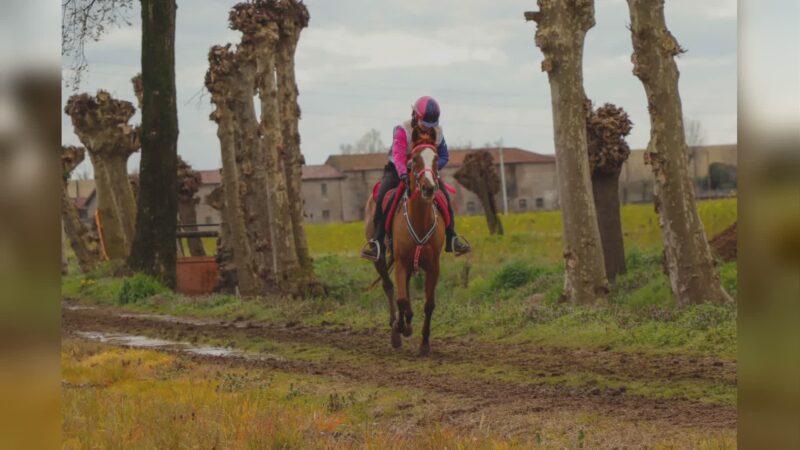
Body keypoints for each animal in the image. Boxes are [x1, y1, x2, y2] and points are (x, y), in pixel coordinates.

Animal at [364, 138, 446, 356]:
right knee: (389, 287)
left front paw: (424, 344)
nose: (429, 187)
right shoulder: (401, 262)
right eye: (414, 160)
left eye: (436, 159)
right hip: (381, 259)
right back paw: (396, 328)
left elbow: (429, 304)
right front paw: (401, 327)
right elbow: (402, 300)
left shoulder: (433, 266)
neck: (420, 220)